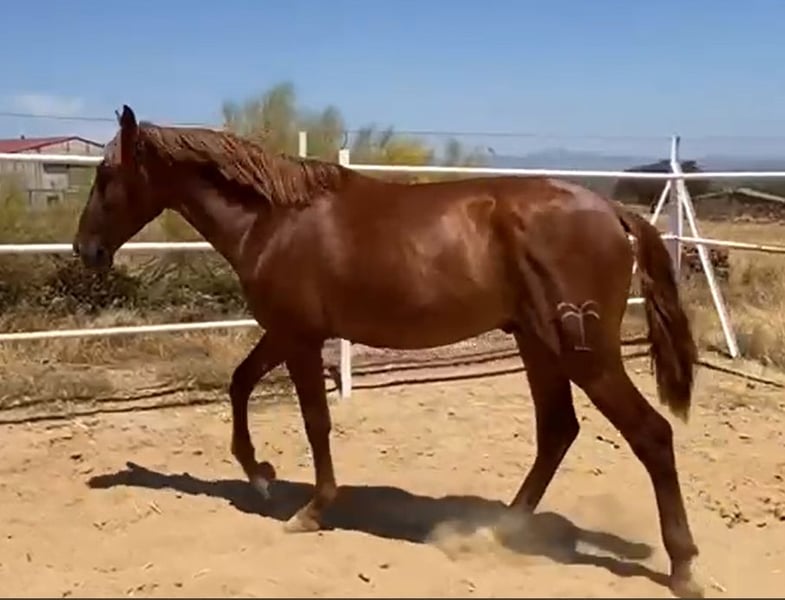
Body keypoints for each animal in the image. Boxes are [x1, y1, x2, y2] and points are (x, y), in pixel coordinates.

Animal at [73, 105, 703, 598]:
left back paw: (683, 568)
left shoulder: (299, 337)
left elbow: (314, 420)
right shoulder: (284, 333)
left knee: (650, 434)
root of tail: (610, 211)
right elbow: (240, 382)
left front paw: (309, 510)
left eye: (106, 173)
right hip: (538, 345)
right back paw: (495, 530)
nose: (85, 251)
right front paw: (260, 475)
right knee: (557, 431)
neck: (275, 218)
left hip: (584, 354)